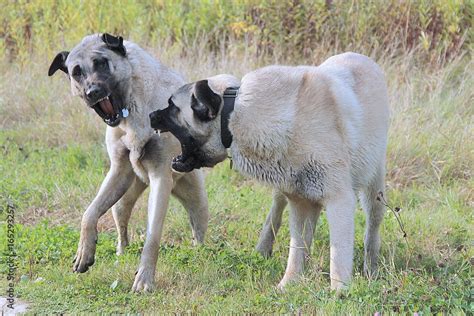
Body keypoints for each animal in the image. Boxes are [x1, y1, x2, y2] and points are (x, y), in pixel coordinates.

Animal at [151, 52, 388, 292]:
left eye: (172, 105)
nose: (151, 115)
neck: (235, 114)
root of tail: (362, 58)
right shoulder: (300, 202)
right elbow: (297, 248)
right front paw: (288, 284)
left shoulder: (339, 200)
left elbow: (337, 254)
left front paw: (339, 292)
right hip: (287, 192)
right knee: (277, 211)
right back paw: (264, 249)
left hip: (374, 190)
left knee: (372, 228)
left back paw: (371, 268)